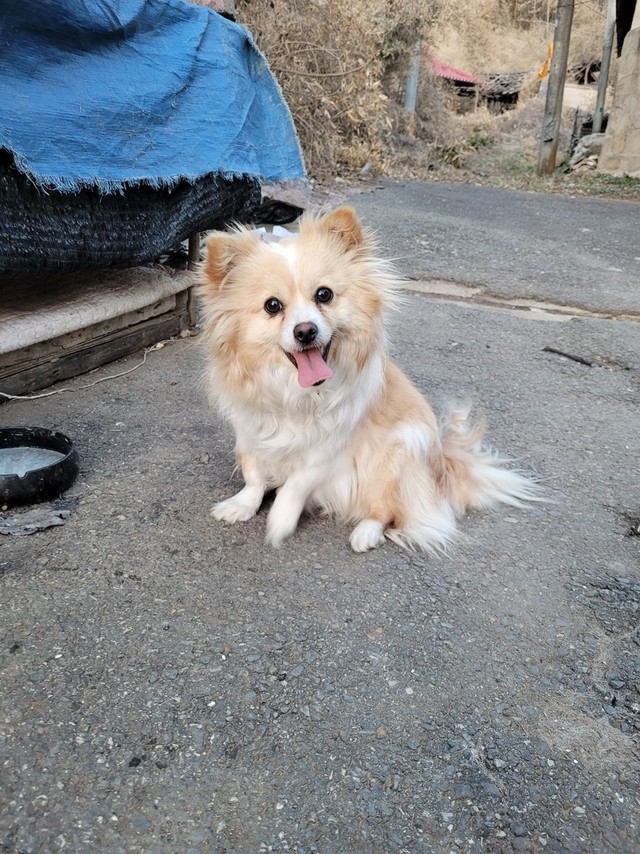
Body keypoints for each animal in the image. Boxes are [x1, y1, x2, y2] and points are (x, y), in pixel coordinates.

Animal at [199, 206, 540, 553]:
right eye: (272, 306)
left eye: (324, 295)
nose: (306, 330)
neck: (297, 392)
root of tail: (441, 460)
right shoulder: (251, 429)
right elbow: (253, 472)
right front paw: (243, 505)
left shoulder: (333, 443)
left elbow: (299, 479)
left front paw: (281, 518)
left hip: (394, 457)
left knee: (385, 509)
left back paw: (366, 533)